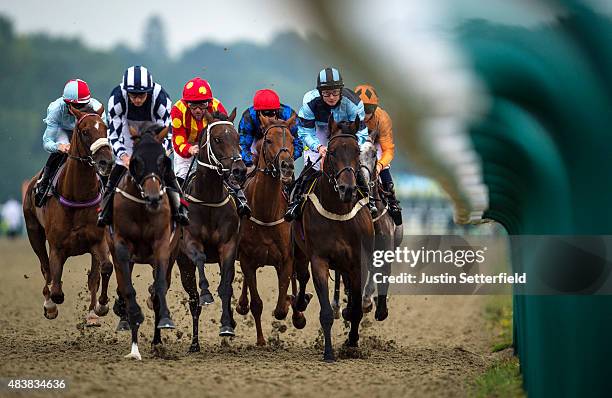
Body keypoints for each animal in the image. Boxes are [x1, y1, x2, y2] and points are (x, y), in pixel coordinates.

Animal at [23, 106, 115, 326]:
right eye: (85, 131)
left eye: (105, 128)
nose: (106, 162)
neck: (78, 196)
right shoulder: (57, 247)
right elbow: (55, 285)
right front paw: (51, 304)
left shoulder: (98, 241)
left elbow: (104, 269)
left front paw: (100, 307)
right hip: (33, 232)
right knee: (45, 268)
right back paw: (49, 305)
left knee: (94, 275)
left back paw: (91, 313)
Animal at [107, 125, 178, 360]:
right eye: (136, 161)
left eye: (162, 160)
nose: (154, 198)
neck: (142, 210)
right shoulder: (121, 247)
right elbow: (128, 290)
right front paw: (134, 319)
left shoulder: (162, 246)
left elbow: (160, 286)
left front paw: (165, 320)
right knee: (123, 287)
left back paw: (156, 341)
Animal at [173, 109, 245, 352]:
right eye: (217, 139)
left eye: (238, 137)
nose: (239, 170)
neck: (209, 200)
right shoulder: (190, 243)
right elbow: (201, 259)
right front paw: (206, 293)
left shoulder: (228, 246)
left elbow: (225, 289)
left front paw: (227, 326)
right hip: (182, 264)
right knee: (193, 300)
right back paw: (194, 343)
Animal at [234, 115, 310, 346]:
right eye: (268, 141)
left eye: (293, 140)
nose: (286, 166)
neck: (266, 212)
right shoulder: (248, 260)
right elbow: (257, 303)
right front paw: (261, 340)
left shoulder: (285, 260)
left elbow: (281, 307)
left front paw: (292, 306)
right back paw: (242, 304)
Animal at [292, 116, 372, 362]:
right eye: (333, 152)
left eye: (357, 151)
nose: (347, 189)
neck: (338, 211)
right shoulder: (319, 259)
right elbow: (326, 311)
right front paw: (328, 352)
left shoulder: (358, 261)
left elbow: (356, 309)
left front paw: (352, 342)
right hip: (299, 252)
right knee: (302, 277)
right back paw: (300, 304)